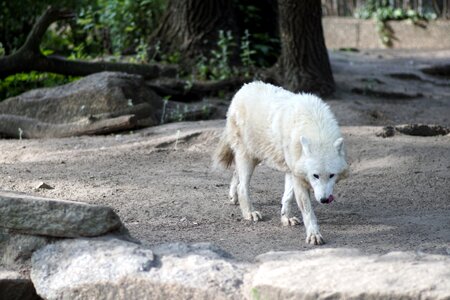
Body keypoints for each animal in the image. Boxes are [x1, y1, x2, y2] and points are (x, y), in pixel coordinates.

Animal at [214, 81, 348, 244]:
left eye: (331, 175)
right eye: (315, 175)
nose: (324, 200)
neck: (316, 129)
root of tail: (243, 88)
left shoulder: (292, 170)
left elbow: (287, 197)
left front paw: (286, 218)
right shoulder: (299, 178)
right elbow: (308, 211)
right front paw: (314, 235)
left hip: (256, 156)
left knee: (235, 174)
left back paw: (233, 198)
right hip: (248, 158)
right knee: (242, 186)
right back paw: (249, 213)